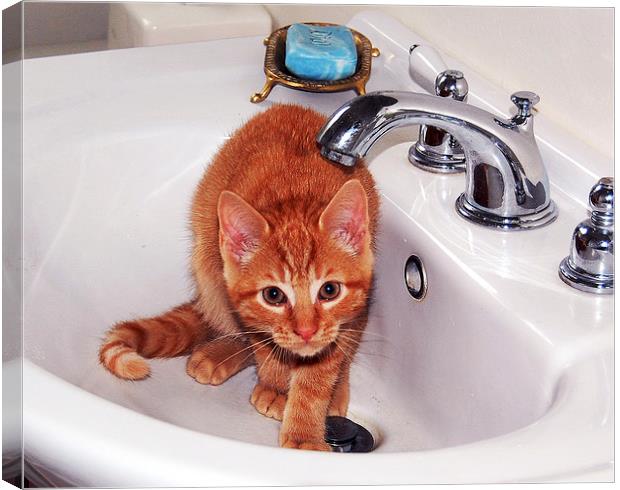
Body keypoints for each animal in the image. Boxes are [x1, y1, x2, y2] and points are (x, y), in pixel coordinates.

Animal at [98, 104, 378, 452]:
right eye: (273, 295)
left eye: (329, 290)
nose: (306, 331)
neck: (296, 197)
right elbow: (264, 343)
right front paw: (277, 385)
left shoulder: (346, 315)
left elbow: (320, 371)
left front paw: (305, 433)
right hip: (207, 263)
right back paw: (221, 353)